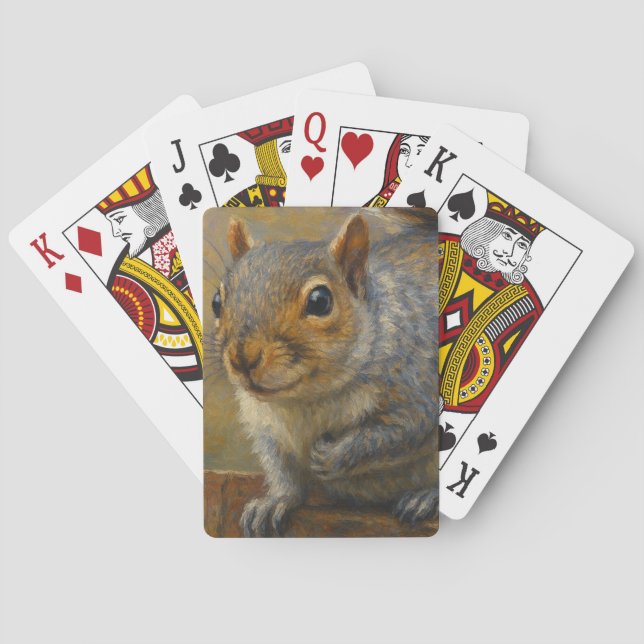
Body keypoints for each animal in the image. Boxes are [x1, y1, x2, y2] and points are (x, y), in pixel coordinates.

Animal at [211, 209, 439, 536]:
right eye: (217, 302)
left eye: (320, 301)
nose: (244, 357)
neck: (306, 398)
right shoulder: (268, 429)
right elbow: (282, 471)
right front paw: (275, 501)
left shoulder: (416, 385)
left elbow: (400, 431)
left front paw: (332, 455)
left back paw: (425, 497)